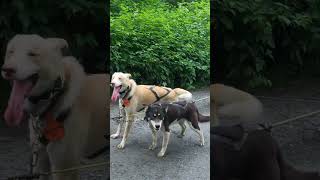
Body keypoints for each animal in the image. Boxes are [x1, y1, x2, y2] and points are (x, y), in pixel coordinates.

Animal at [0, 34, 109, 179]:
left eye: (32, 54)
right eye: (11, 52)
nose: (7, 70)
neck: (55, 98)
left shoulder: (64, 168)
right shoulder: (41, 163)